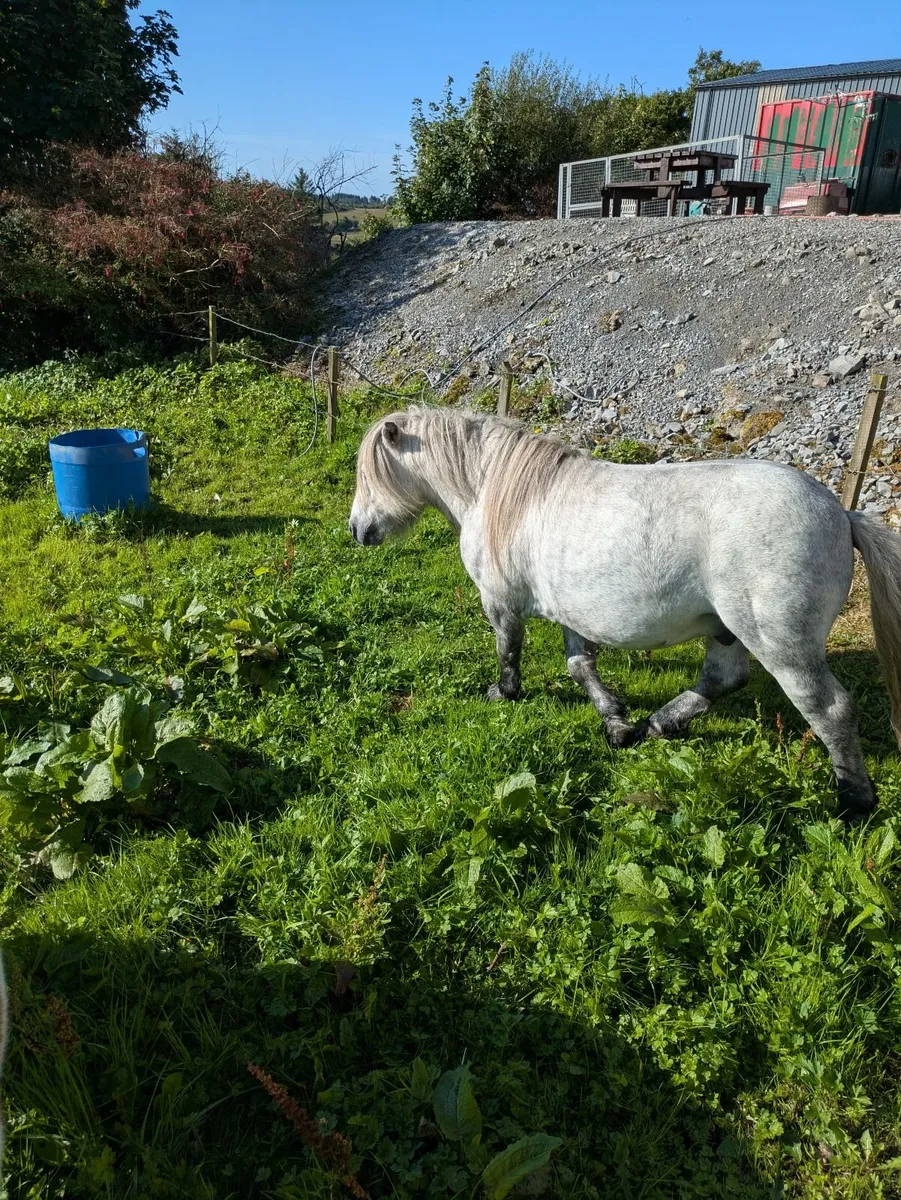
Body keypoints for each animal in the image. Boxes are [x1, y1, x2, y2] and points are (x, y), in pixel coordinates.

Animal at [349, 406, 901, 820]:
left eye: (368, 475)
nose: (357, 530)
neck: (499, 490)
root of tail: (840, 514)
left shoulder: (500, 601)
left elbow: (509, 652)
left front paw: (503, 693)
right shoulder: (571, 612)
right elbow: (580, 667)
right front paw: (615, 721)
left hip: (781, 645)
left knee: (829, 710)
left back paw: (855, 800)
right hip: (728, 632)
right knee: (722, 680)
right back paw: (653, 727)